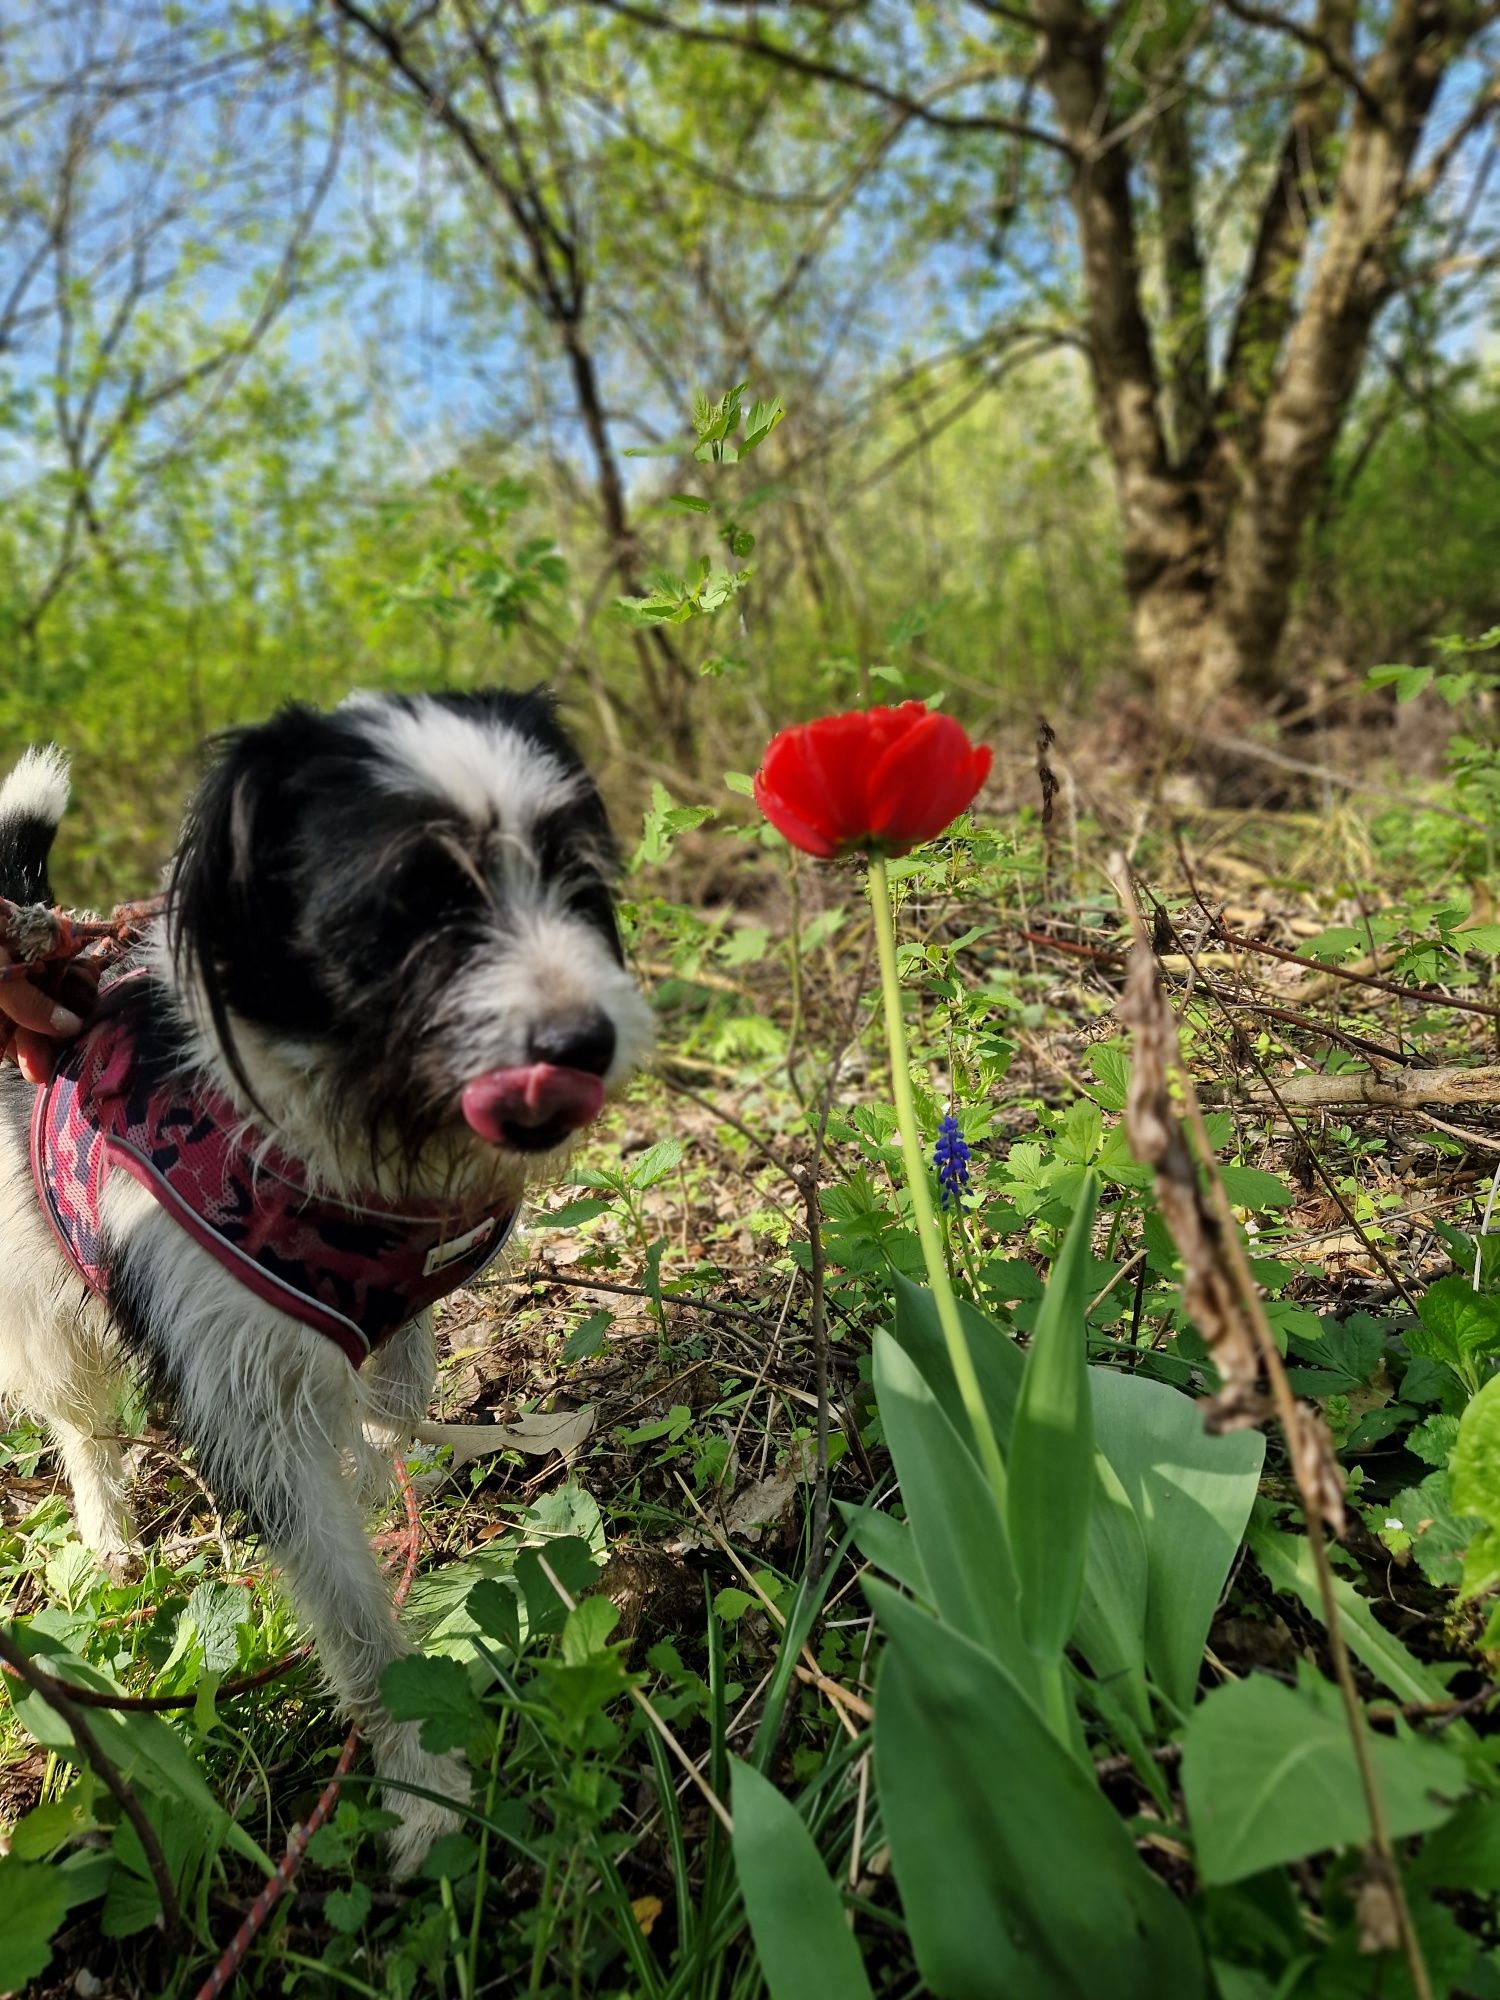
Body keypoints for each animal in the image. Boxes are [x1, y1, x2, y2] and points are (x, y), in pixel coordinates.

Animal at [0, 692, 652, 1872]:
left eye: (573, 873)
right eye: (407, 908)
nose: (585, 1041)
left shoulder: (397, 1306)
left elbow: (393, 1404)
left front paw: (408, 1482)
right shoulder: (249, 1404)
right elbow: (347, 1598)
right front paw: (418, 1781)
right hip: (36, 1293)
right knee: (75, 1415)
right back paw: (108, 1532)